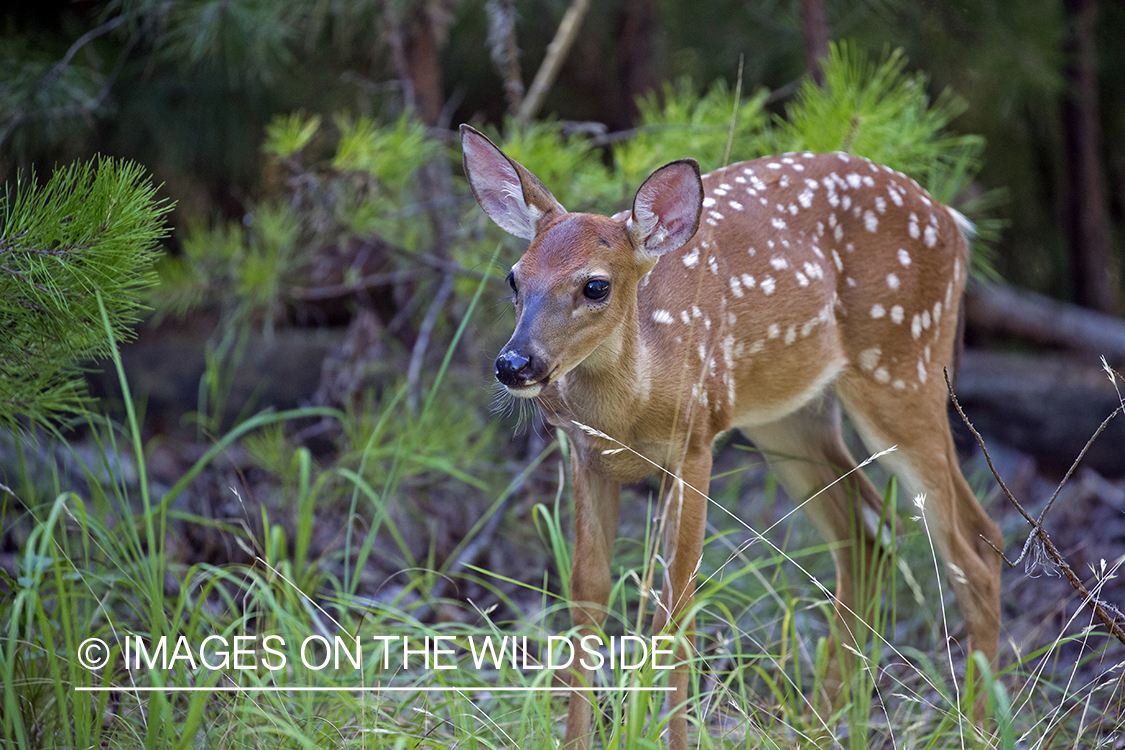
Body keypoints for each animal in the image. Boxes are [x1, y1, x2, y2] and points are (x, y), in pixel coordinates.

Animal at [460, 123, 1002, 750]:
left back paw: (976, 730)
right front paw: (577, 739)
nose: (515, 364)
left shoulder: (698, 441)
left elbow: (676, 601)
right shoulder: (586, 455)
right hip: (788, 418)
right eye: (514, 278)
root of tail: (956, 224)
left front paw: (674, 737)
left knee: (976, 547)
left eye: (595, 285)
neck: (632, 408)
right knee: (869, 533)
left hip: (903, 372)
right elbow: (587, 596)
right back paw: (813, 726)